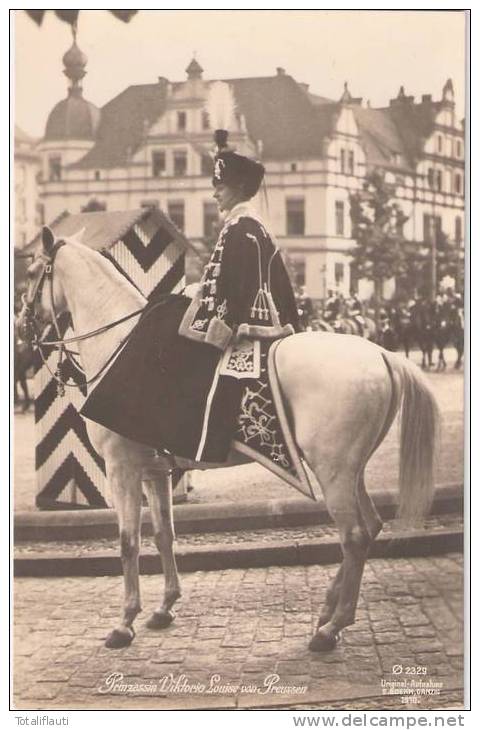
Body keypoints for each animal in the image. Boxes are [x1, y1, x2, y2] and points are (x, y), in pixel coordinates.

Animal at [18, 228, 440, 648]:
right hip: (352, 471)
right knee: (371, 528)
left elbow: (127, 542)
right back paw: (327, 610)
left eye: (32, 273)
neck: (119, 344)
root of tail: (382, 354)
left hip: (333, 472)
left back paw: (331, 627)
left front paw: (125, 623)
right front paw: (164, 607)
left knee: (353, 537)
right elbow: (164, 535)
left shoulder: (122, 467)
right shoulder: (155, 471)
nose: (21, 326)